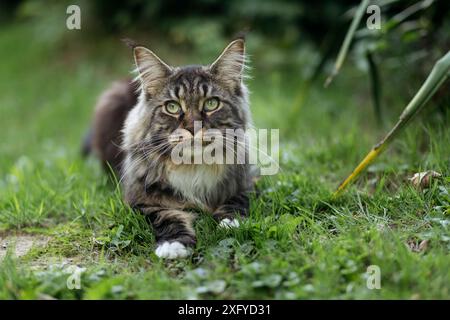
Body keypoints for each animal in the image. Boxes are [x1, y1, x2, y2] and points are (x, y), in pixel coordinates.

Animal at [83, 37, 253, 258]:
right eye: (172, 107)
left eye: (211, 104)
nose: (193, 128)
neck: (192, 165)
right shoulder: (141, 201)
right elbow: (168, 217)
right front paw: (174, 245)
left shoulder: (247, 182)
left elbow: (236, 201)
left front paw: (230, 223)